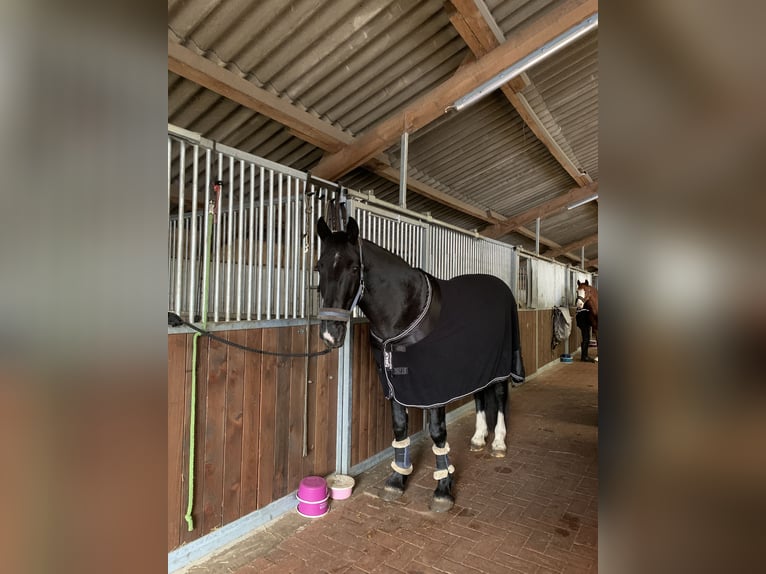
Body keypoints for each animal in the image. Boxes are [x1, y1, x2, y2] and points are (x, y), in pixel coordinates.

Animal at [316, 216, 525, 512]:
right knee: (480, 396)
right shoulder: (394, 384)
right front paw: (397, 480)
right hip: (478, 365)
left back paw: (497, 443)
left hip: (502, 366)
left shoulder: (433, 387)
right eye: (319, 266)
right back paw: (478, 438)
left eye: (354, 267)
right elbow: (399, 427)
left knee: (500, 396)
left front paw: (443, 489)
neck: (405, 311)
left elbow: (437, 433)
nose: (329, 334)